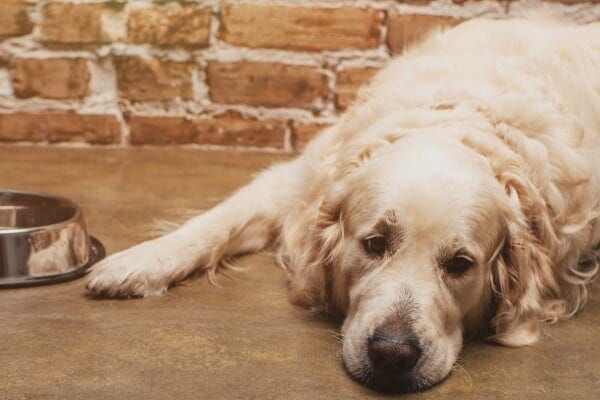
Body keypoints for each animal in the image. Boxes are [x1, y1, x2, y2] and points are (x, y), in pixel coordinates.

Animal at [85, 17, 600, 392]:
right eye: (374, 243)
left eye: (460, 264)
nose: (393, 354)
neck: (455, 115)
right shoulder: (298, 182)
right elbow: (214, 223)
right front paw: (136, 264)